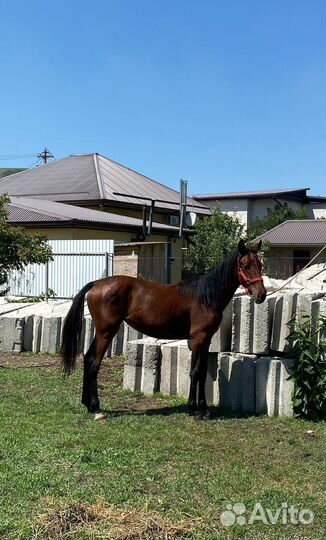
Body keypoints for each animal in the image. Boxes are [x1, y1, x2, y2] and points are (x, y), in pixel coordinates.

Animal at [61, 238, 264, 420]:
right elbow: (195, 371)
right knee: (94, 364)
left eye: (260, 265)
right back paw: (96, 408)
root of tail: (96, 284)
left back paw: (88, 405)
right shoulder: (198, 339)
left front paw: (204, 409)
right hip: (106, 332)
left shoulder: (206, 341)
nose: (261, 295)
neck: (205, 297)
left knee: (88, 359)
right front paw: (195, 410)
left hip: (102, 332)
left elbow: (202, 371)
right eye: (245, 265)